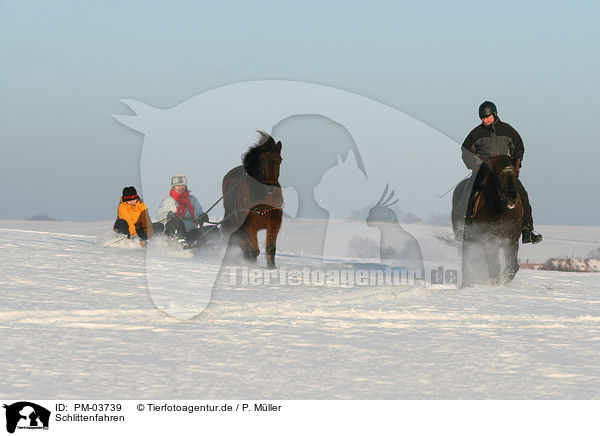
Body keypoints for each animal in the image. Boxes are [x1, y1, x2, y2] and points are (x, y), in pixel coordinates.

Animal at [223, 132, 284, 270]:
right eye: (262, 161)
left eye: (279, 161)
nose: (271, 187)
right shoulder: (249, 223)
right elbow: (253, 249)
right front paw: (250, 261)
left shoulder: (274, 221)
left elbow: (271, 247)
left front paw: (272, 266)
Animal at [462, 154, 524, 286]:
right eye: (499, 176)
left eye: (515, 175)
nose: (511, 198)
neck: (501, 212)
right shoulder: (490, 240)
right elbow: (494, 265)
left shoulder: (512, 240)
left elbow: (512, 266)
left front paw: (504, 281)